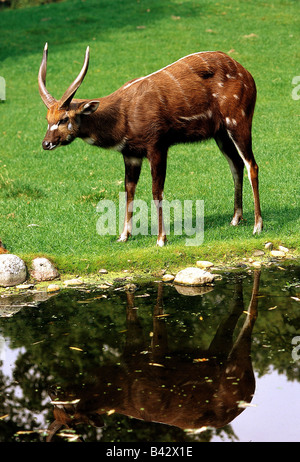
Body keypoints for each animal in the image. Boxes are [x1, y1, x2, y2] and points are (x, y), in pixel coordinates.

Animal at [39, 44, 262, 245]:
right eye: (48, 119)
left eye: (64, 118)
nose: (46, 143)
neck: (123, 115)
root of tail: (247, 74)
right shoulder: (131, 154)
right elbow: (129, 190)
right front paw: (123, 236)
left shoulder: (157, 146)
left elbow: (156, 191)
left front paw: (161, 239)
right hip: (221, 134)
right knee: (236, 164)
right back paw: (235, 219)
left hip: (238, 122)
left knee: (252, 165)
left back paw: (257, 226)